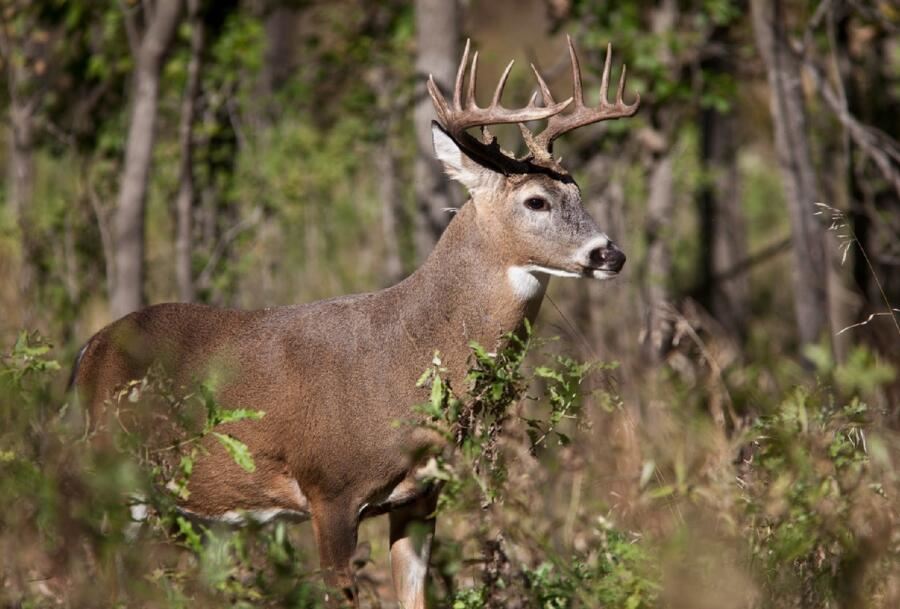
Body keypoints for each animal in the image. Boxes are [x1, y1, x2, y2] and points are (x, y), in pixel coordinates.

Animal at [70, 35, 639, 608]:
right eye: (536, 201)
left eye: (579, 194)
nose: (611, 254)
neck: (405, 355)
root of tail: (88, 350)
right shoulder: (330, 490)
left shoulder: (419, 499)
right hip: (112, 470)